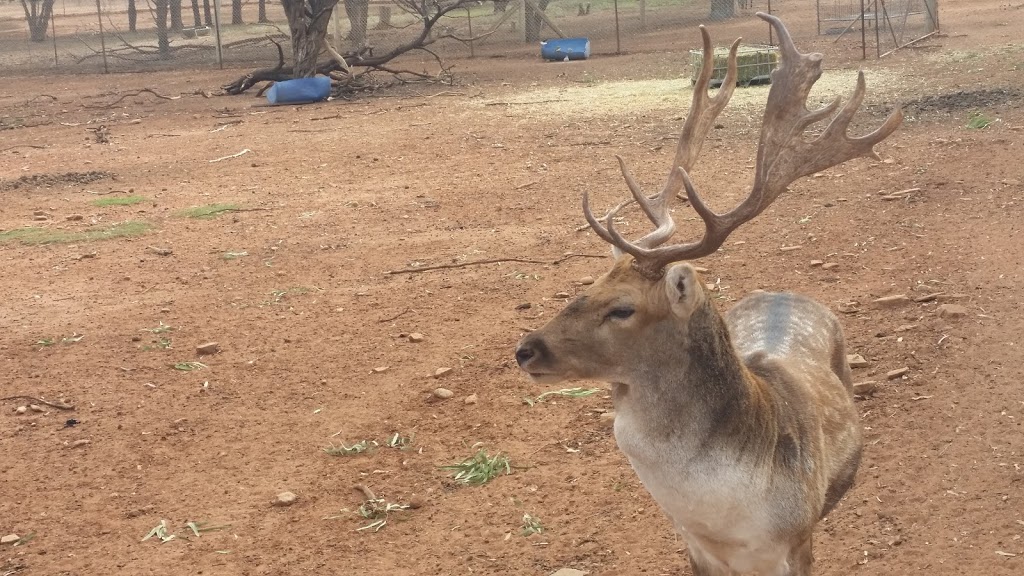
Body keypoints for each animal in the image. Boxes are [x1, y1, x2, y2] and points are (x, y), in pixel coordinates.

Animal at [516, 13, 901, 573]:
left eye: (623, 308)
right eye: (587, 285)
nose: (525, 349)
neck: (728, 523)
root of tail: (782, 291)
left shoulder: (798, 541)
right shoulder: (693, 547)